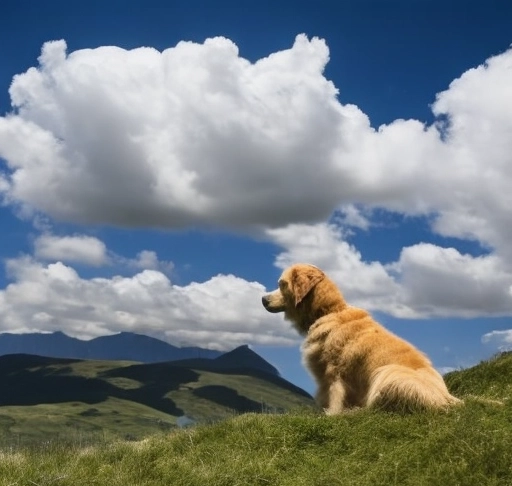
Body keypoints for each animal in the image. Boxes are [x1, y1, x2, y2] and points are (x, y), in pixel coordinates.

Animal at [260, 264, 460, 412]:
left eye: (282, 284)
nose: (263, 299)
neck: (328, 311)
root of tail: (448, 398)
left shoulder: (332, 373)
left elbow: (334, 400)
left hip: (389, 373)